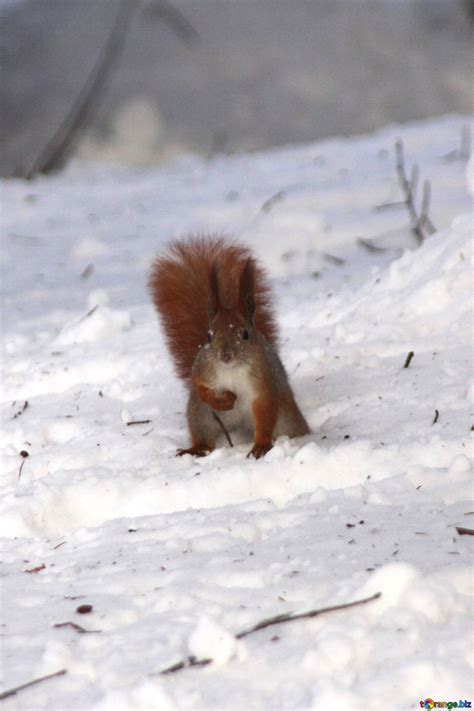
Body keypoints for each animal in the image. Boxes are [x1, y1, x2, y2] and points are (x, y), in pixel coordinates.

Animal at [149, 236, 312, 458]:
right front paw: (223, 400)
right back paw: (196, 448)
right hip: (201, 415)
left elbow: (265, 412)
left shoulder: (264, 383)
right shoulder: (202, 368)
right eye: (209, 336)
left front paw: (261, 445)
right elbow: (200, 386)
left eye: (245, 334)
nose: (225, 355)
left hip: (286, 419)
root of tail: (240, 426)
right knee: (204, 436)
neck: (232, 369)